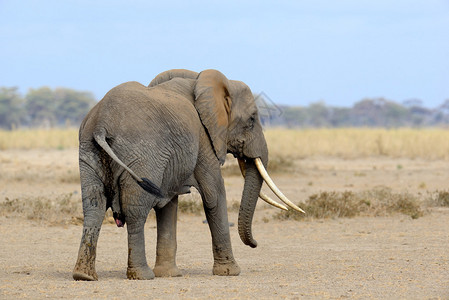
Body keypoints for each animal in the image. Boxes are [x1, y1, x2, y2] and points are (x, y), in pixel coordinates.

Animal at [72, 68, 304, 282]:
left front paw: (168, 274)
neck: (200, 80)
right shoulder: (203, 138)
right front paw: (230, 272)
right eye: (252, 119)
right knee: (135, 210)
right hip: (141, 155)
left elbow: (168, 205)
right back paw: (142, 275)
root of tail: (101, 124)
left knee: (93, 206)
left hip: (89, 150)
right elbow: (214, 194)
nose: (255, 244)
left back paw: (85, 276)